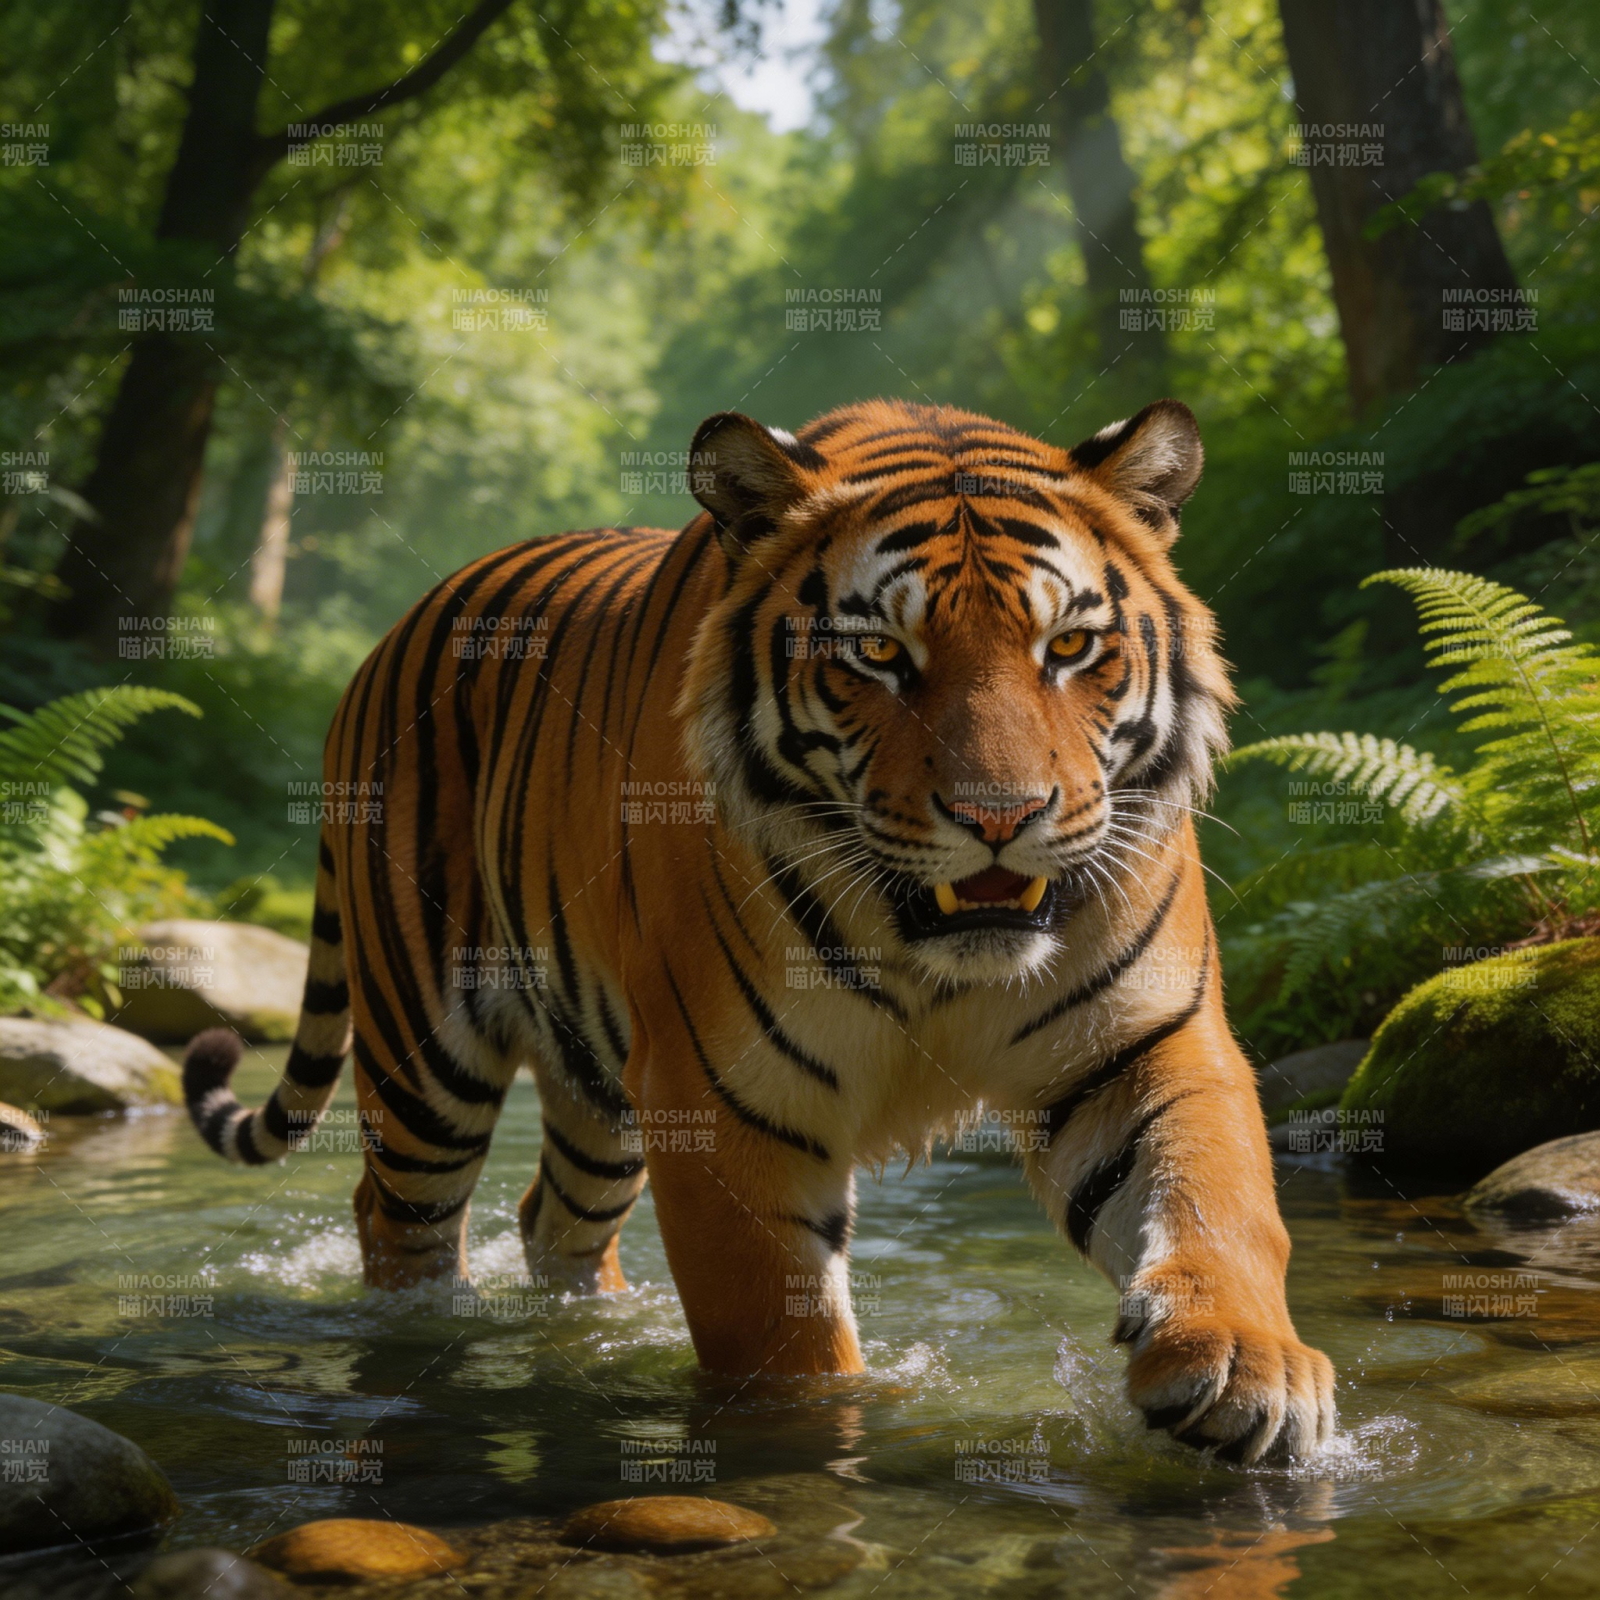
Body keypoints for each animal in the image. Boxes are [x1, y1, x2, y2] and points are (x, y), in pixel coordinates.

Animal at [184, 396, 1335, 1463]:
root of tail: (399, 625)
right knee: (398, 1221)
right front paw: (816, 1439)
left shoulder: (1145, 1043)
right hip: (428, 1062)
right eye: (878, 652)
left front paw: (1245, 1369)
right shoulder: (727, 1099)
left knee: (552, 1219)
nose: (1000, 817)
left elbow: (1214, 1199)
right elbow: (780, 1338)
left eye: (1071, 645)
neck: (934, 957)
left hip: (597, 1087)